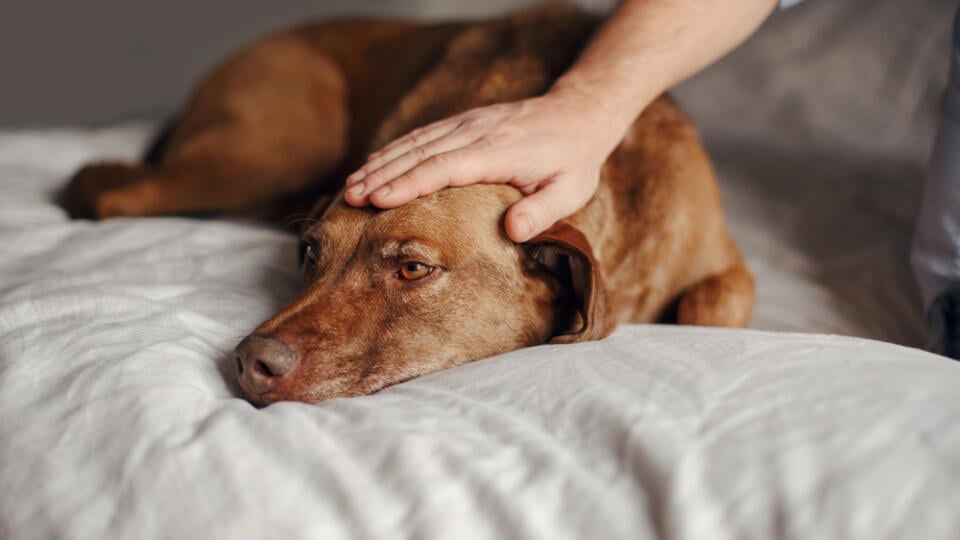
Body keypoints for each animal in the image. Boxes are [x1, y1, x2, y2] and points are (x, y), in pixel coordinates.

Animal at [60, 2, 752, 402]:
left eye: (413, 268)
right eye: (308, 252)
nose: (250, 362)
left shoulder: (726, 265)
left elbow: (713, 303)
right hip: (269, 150)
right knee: (111, 191)